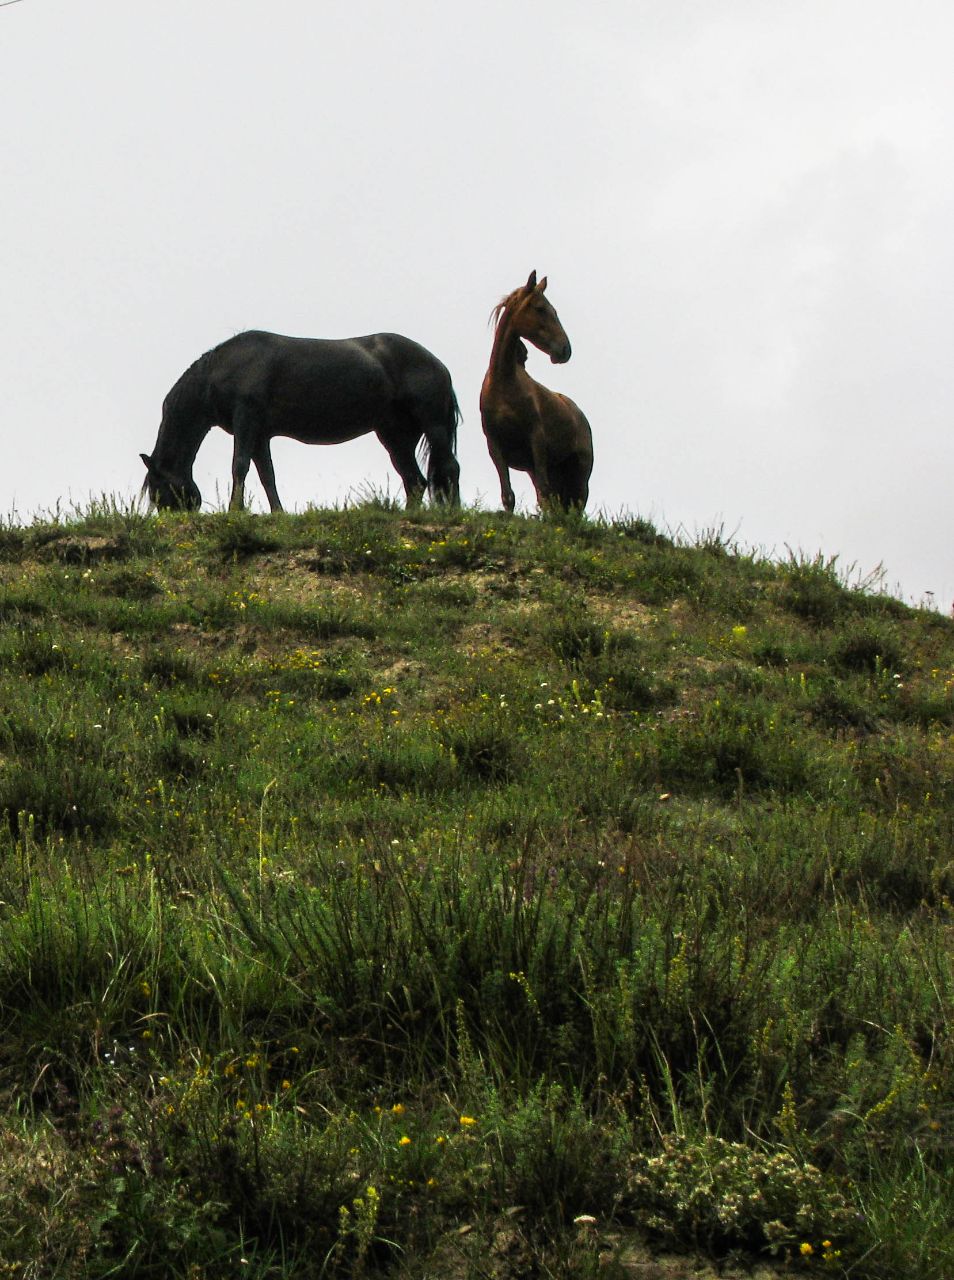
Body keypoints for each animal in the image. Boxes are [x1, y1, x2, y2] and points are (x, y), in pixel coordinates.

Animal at [140, 327, 460, 512]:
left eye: (159, 491)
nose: (176, 520)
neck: (220, 370)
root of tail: (438, 364)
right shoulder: (260, 434)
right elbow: (266, 474)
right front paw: (277, 512)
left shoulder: (247, 420)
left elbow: (239, 466)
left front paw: (235, 510)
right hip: (394, 436)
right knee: (414, 481)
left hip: (433, 426)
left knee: (449, 467)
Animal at [478, 272, 591, 512]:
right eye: (540, 308)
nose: (565, 350)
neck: (504, 384)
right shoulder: (495, 446)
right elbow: (508, 496)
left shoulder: (536, 442)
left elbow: (544, 494)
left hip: (579, 475)